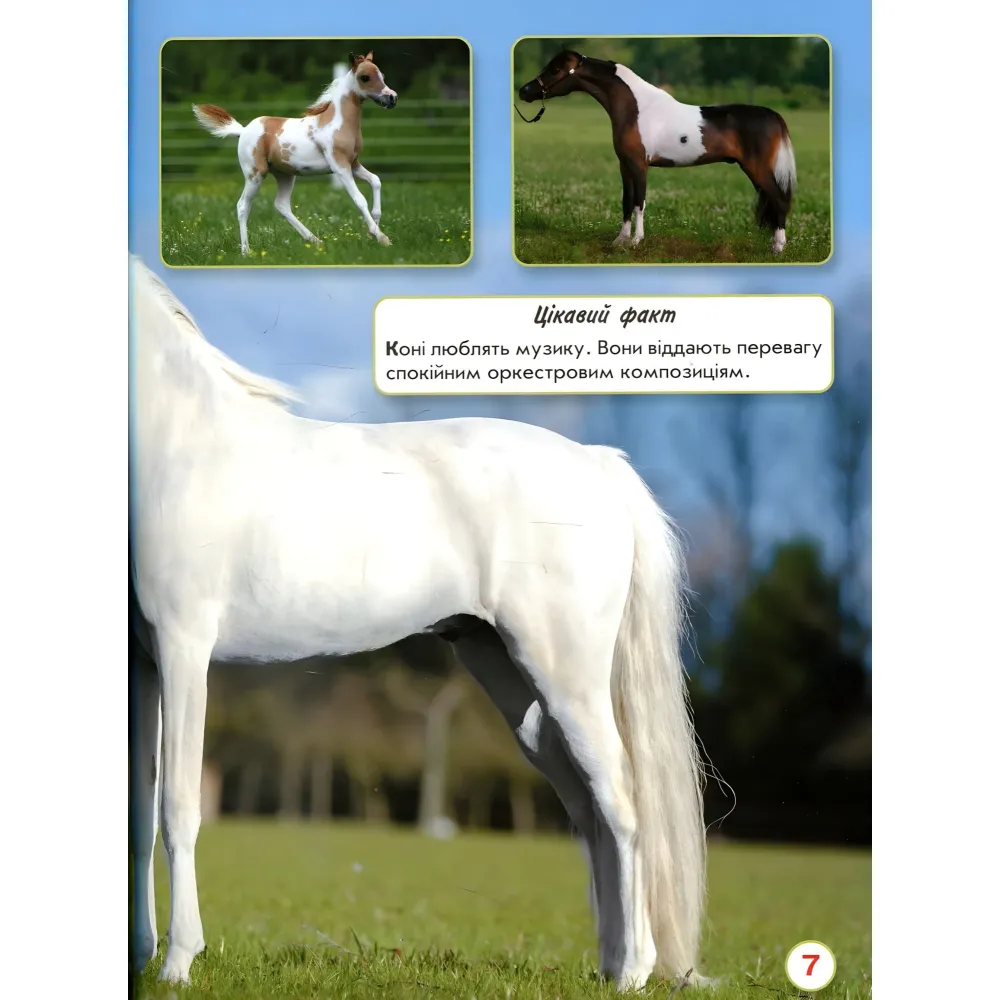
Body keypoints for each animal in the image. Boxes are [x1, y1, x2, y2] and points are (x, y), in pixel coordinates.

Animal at [128, 256, 708, 993]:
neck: (179, 448)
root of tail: (599, 463)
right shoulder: (143, 663)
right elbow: (139, 815)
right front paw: (140, 955)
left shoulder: (185, 650)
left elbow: (177, 807)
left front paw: (177, 962)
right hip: (512, 683)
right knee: (586, 809)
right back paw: (607, 964)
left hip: (567, 677)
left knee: (621, 803)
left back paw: (633, 970)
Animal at [192, 51, 397, 255]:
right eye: (365, 77)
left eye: (382, 75)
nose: (392, 98)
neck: (337, 123)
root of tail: (243, 131)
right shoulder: (340, 167)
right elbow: (359, 199)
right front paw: (382, 238)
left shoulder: (354, 164)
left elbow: (376, 181)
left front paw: (372, 232)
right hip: (255, 174)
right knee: (243, 206)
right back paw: (246, 252)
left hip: (285, 175)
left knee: (282, 205)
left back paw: (315, 241)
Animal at [516, 50, 797, 254]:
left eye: (555, 69)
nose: (524, 91)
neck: (637, 108)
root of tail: (773, 115)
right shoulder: (625, 166)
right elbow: (626, 201)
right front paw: (619, 241)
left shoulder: (639, 165)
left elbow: (639, 202)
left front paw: (636, 241)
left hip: (757, 168)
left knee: (779, 199)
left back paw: (778, 248)